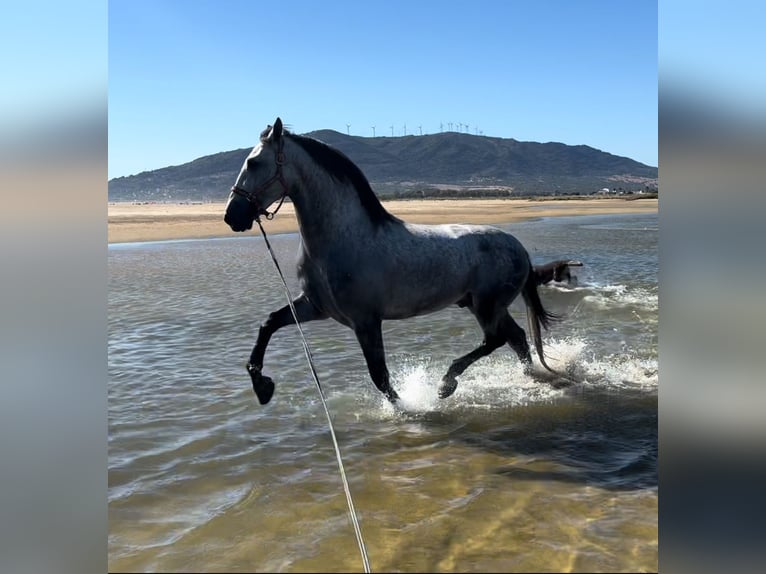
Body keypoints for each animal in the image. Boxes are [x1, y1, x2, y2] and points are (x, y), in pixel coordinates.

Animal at [225, 117, 560, 408]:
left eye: (254, 163)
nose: (232, 215)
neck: (344, 239)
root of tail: (518, 247)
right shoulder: (315, 307)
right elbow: (269, 323)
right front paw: (262, 387)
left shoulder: (366, 321)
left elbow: (380, 377)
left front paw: (408, 409)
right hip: (484, 305)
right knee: (516, 339)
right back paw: (526, 378)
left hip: (486, 306)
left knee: (496, 340)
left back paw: (446, 384)